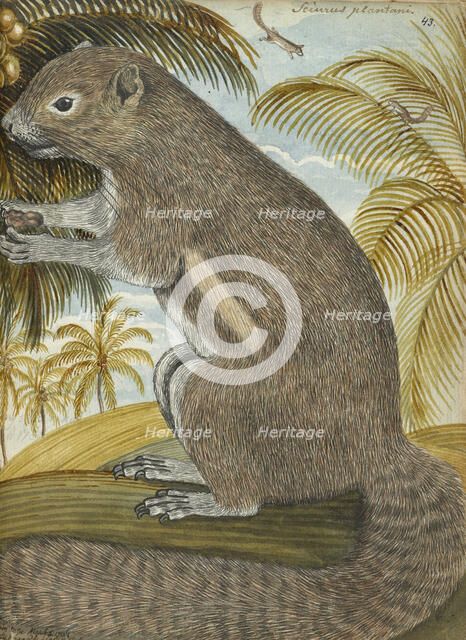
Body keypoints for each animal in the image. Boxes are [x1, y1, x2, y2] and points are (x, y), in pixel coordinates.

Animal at [0, 45, 464, 640]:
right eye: (37, 77)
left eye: (63, 102)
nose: (9, 125)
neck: (161, 140)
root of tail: (379, 451)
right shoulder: (111, 199)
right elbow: (84, 211)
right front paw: (24, 208)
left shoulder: (162, 213)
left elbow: (121, 258)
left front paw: (34, 244)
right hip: (174, 367)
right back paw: (168, 468)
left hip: (214, 397)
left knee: (247, 500)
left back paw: (189, 502)